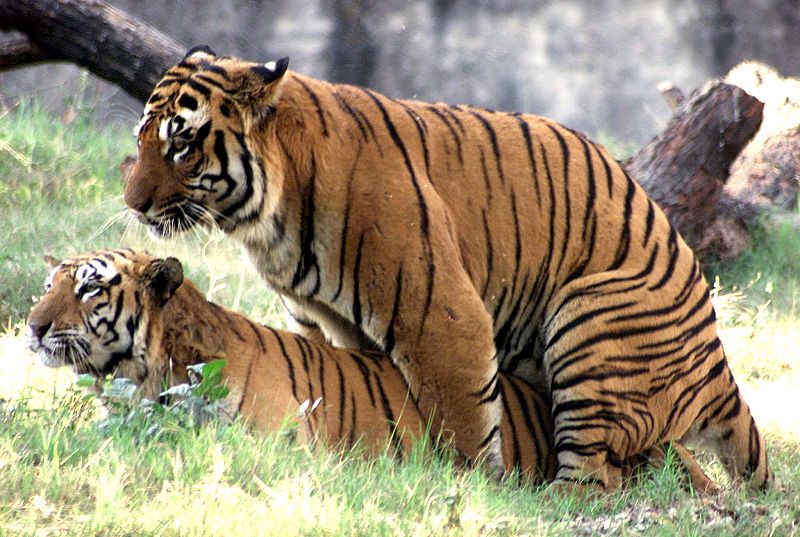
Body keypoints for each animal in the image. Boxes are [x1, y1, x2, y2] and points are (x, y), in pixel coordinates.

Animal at [123, 46, 771, 490]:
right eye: (142, 140)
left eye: (181, 145)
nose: (132, 203)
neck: (266, 222)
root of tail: (716, 359)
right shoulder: (334, 323)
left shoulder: (440, 315)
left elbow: (462, 416)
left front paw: (478, 487)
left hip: (588, 317)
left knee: (596, 478)